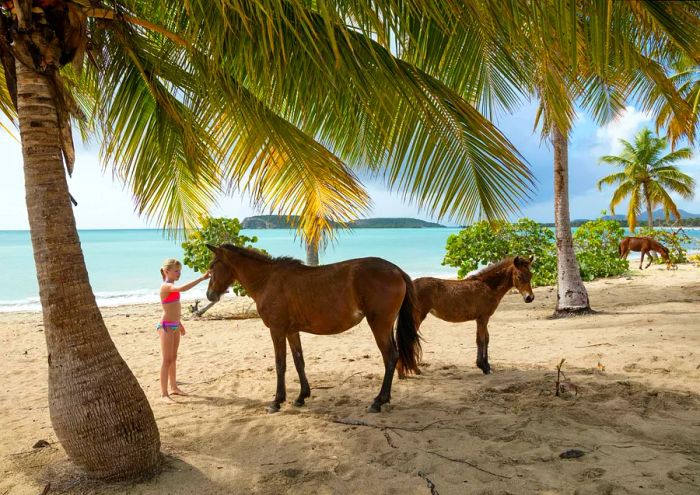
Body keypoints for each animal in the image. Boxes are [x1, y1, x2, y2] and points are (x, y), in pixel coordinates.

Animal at [202, 245, 422, 414]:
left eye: (212, 267)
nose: (209, 295)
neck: (267, 280)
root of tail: (396, 270)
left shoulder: (277, 330)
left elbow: (280, 364)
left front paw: (276, 401)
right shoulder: (291, 331)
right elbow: (299, 362)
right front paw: (301, 397)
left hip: (379, 324)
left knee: (390, 357)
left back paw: (377, 401)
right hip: (385, 325)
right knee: (392, 357)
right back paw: (384, 399)